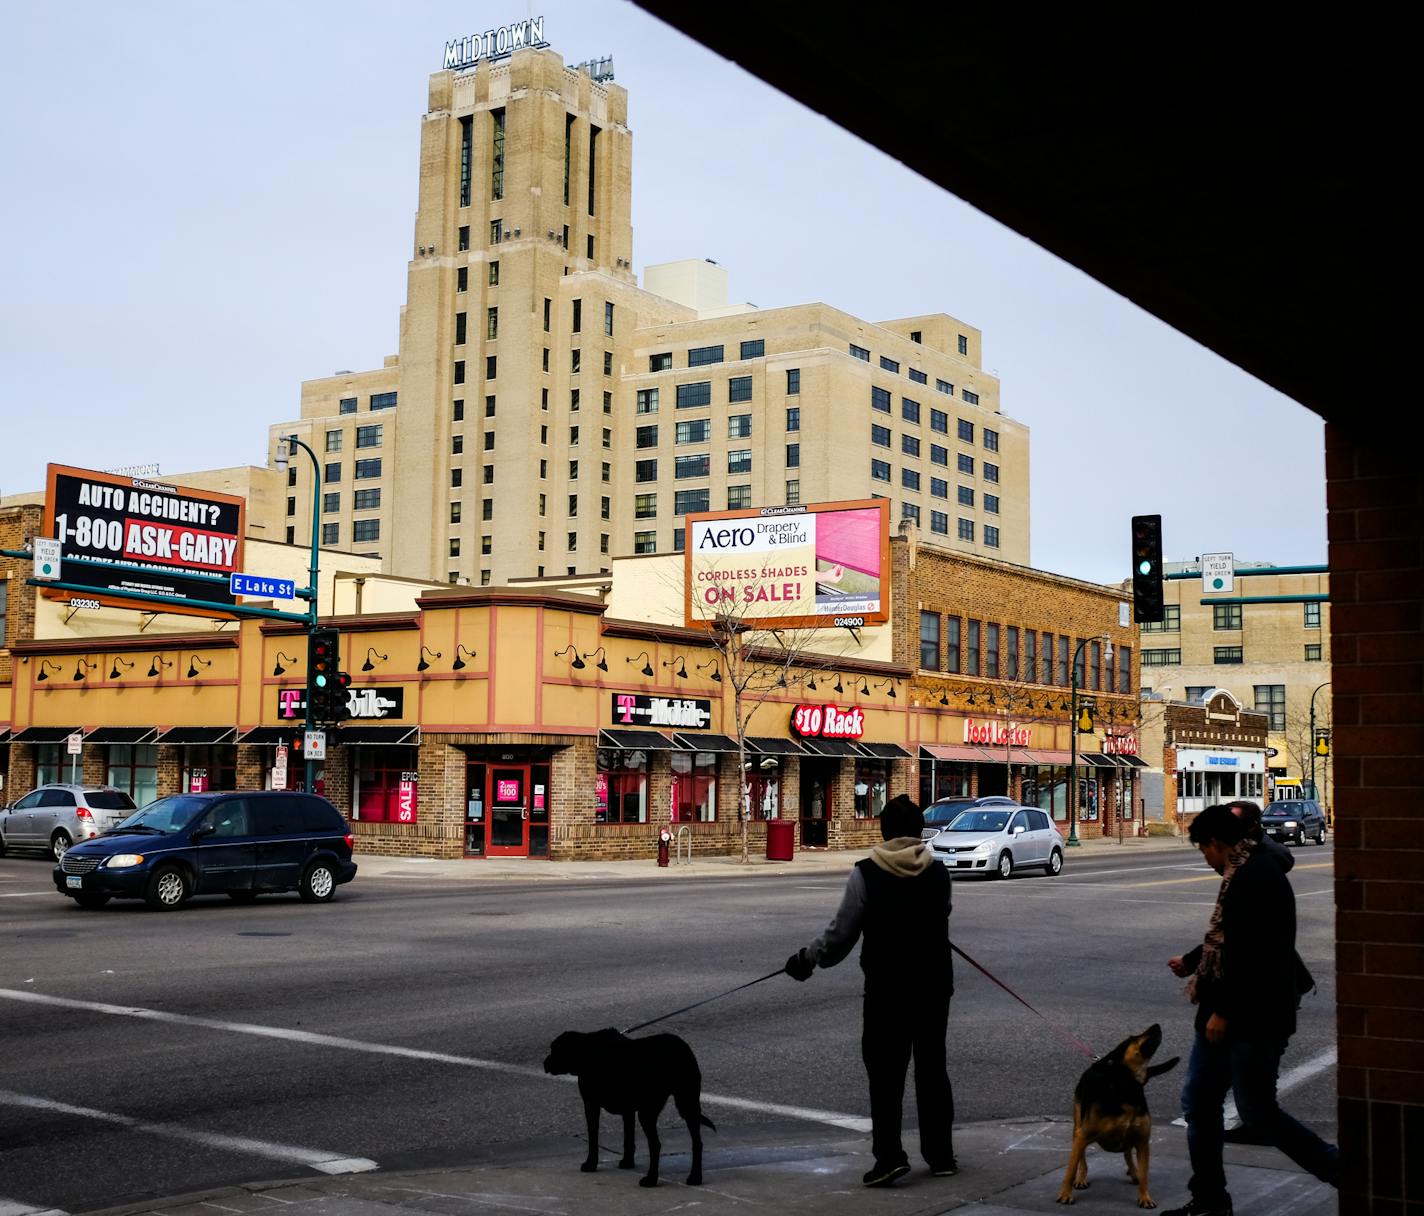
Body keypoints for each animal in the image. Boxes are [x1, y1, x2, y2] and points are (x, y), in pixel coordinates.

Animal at [541, 1030, 717, 1190]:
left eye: (554, 1049)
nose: (544, 1063)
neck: (587, 1052)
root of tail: (680, 1051)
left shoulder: (591, 1104)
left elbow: (593, 1137)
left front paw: (590, 1164)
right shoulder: (628, 1110)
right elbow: (628, 1138)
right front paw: (627, 1162)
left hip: (649, 1111)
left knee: (656, 1144)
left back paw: (651, 1180)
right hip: (688, 1103)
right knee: (697, 1142)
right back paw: (695, 1177)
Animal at [1059, 1030, 1179, 1207]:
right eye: (1133, 1038)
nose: (1156, 1026)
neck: (1127, 1089)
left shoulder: (1143, 1141)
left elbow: (1144, 1174)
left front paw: (1145, 1197)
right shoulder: (1083, 1135)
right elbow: (1070, 1169)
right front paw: (1065, 1194)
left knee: (1128, 1153)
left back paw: (1134, 1172)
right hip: (1077, 1125)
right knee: (1081, 1157)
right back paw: (1081, 1178)